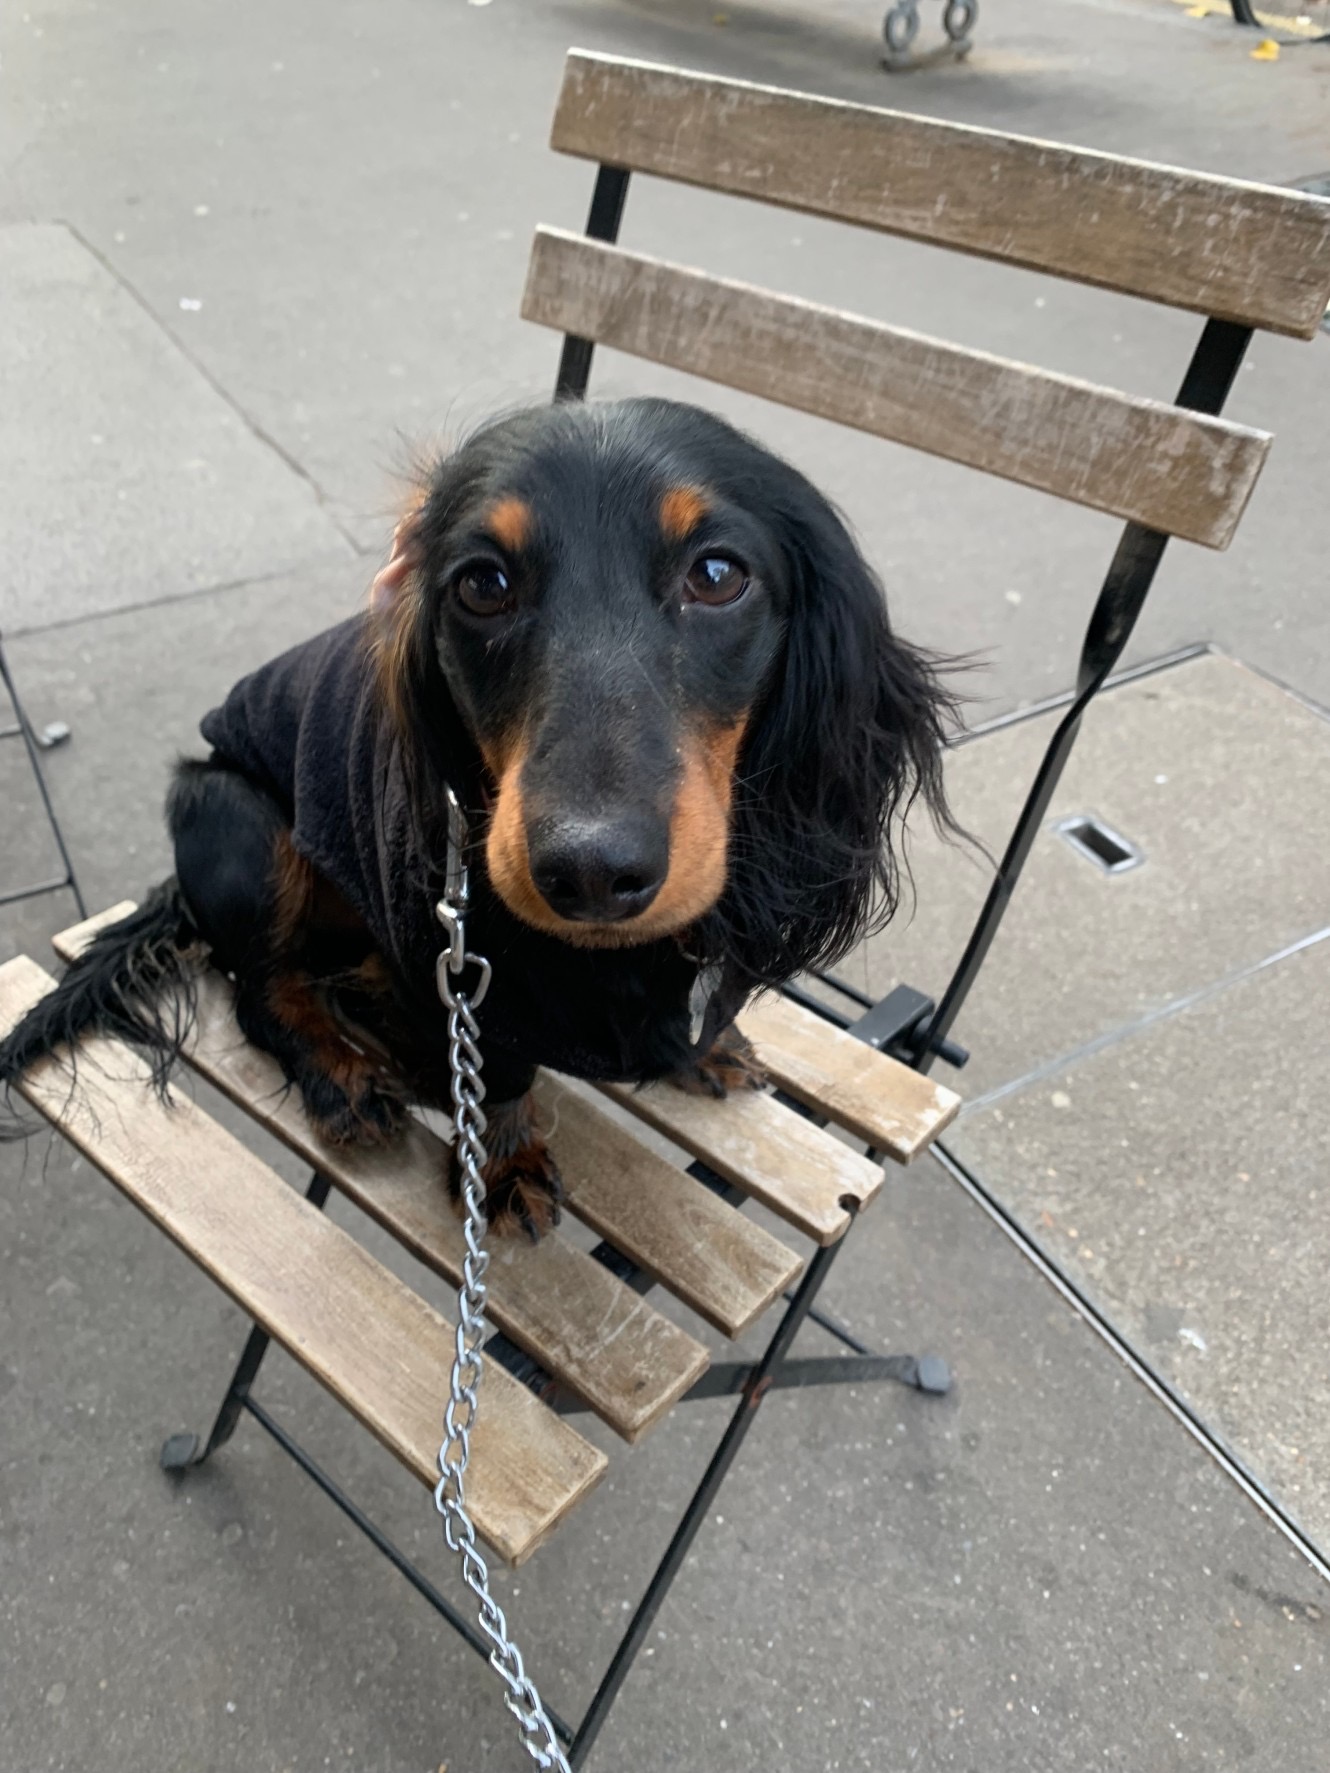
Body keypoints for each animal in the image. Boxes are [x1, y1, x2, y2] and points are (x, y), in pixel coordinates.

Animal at [0, 397, 957, 1241]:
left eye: (718, 575)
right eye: (483, 584)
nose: (590, 873)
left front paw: (707, 1043)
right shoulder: (462, 987)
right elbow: (494, 1080)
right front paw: (504, 1167)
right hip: (235, 819)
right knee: (262, 990)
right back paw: (343, 1074)